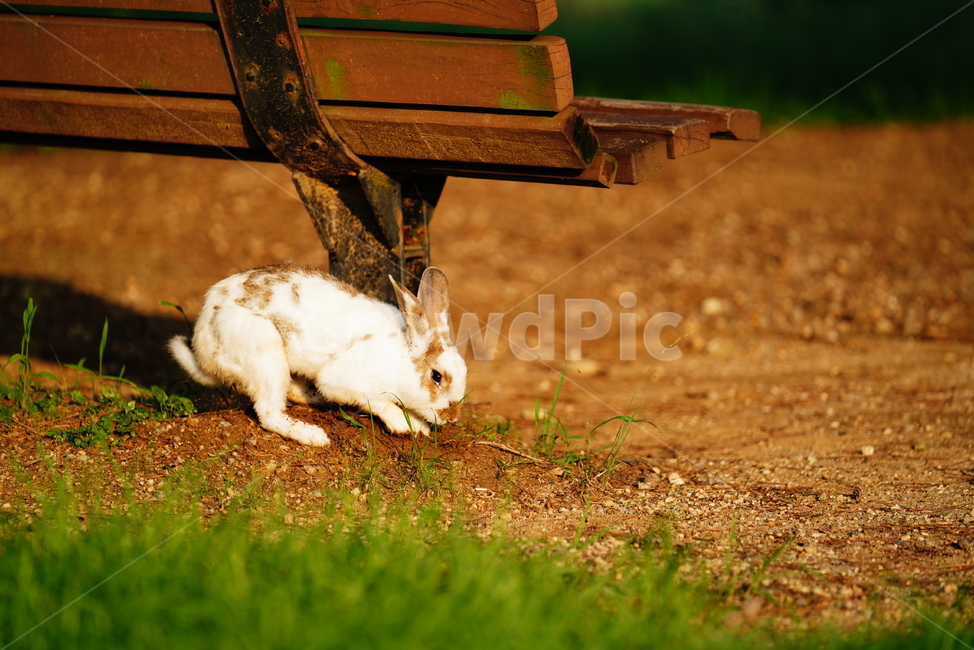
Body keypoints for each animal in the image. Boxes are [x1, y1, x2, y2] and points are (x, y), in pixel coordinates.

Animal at [168, 263, 467, 446]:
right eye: (437, 376)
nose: (453, 416)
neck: (402, 356)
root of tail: (202, 352)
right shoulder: (346, 381)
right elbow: (379, 402)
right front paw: (409, 426)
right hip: (264, 351)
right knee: (268, 412)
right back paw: (313, 435)